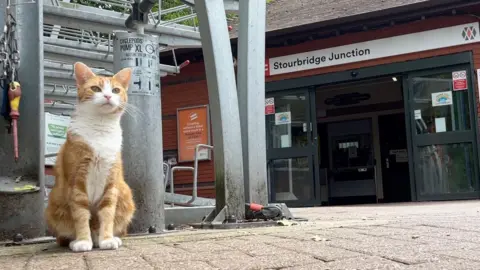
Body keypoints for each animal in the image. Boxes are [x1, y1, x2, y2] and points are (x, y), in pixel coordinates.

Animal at [45, 62, 136, 252]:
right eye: (95, 88)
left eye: (116, 90)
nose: (108, 95)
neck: (100, 128)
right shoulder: (76, 182)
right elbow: (80, 215)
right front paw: (82, 241)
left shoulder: (111, 181)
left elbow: (107, 213)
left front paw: (107, 239)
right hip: (53, 205)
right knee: (63, 236)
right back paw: (77, 241)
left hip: (126, 193)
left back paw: (107, 238)